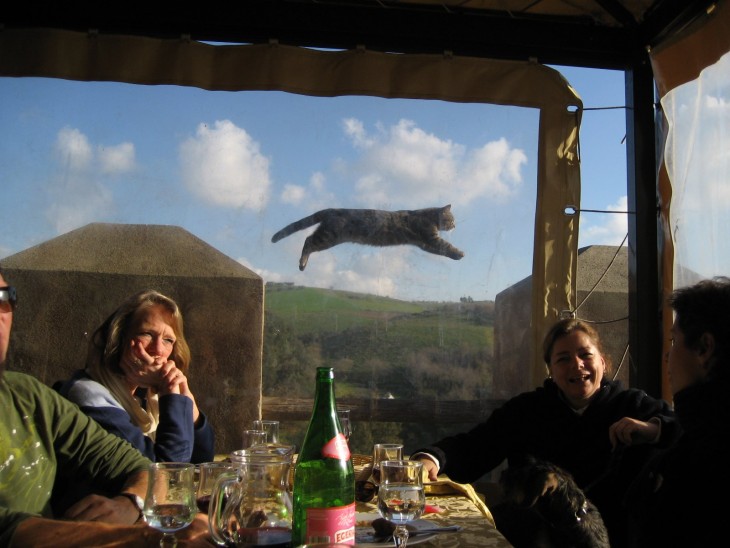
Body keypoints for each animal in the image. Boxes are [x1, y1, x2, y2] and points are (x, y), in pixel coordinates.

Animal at [270, 204, 464, 270]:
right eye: (452, 219)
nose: (455, 225)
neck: (429, 216)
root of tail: (331, 209)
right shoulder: (430, 237)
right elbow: (445, 245)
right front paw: (459, 253)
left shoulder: (425, 243)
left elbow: (441, 250)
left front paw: (455, 255)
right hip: (328, 236)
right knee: (308, 241)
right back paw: (302, 263)